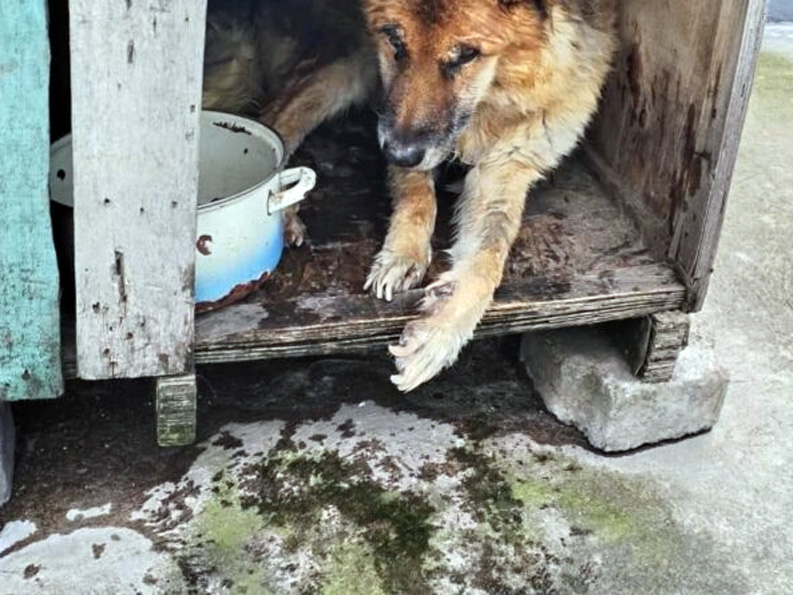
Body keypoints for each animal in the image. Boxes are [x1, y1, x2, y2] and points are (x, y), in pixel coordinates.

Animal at [201, 0, 616, 394]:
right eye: (395, 41)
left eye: (467, 54)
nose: (398, 154)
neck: (492, 100)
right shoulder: (392, 120)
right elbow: (418, 196)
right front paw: (404, 254)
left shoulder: (504, 169)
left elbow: (488, 257)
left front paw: (440, 331)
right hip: (348, 63)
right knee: (276, 118)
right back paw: (284, 209)